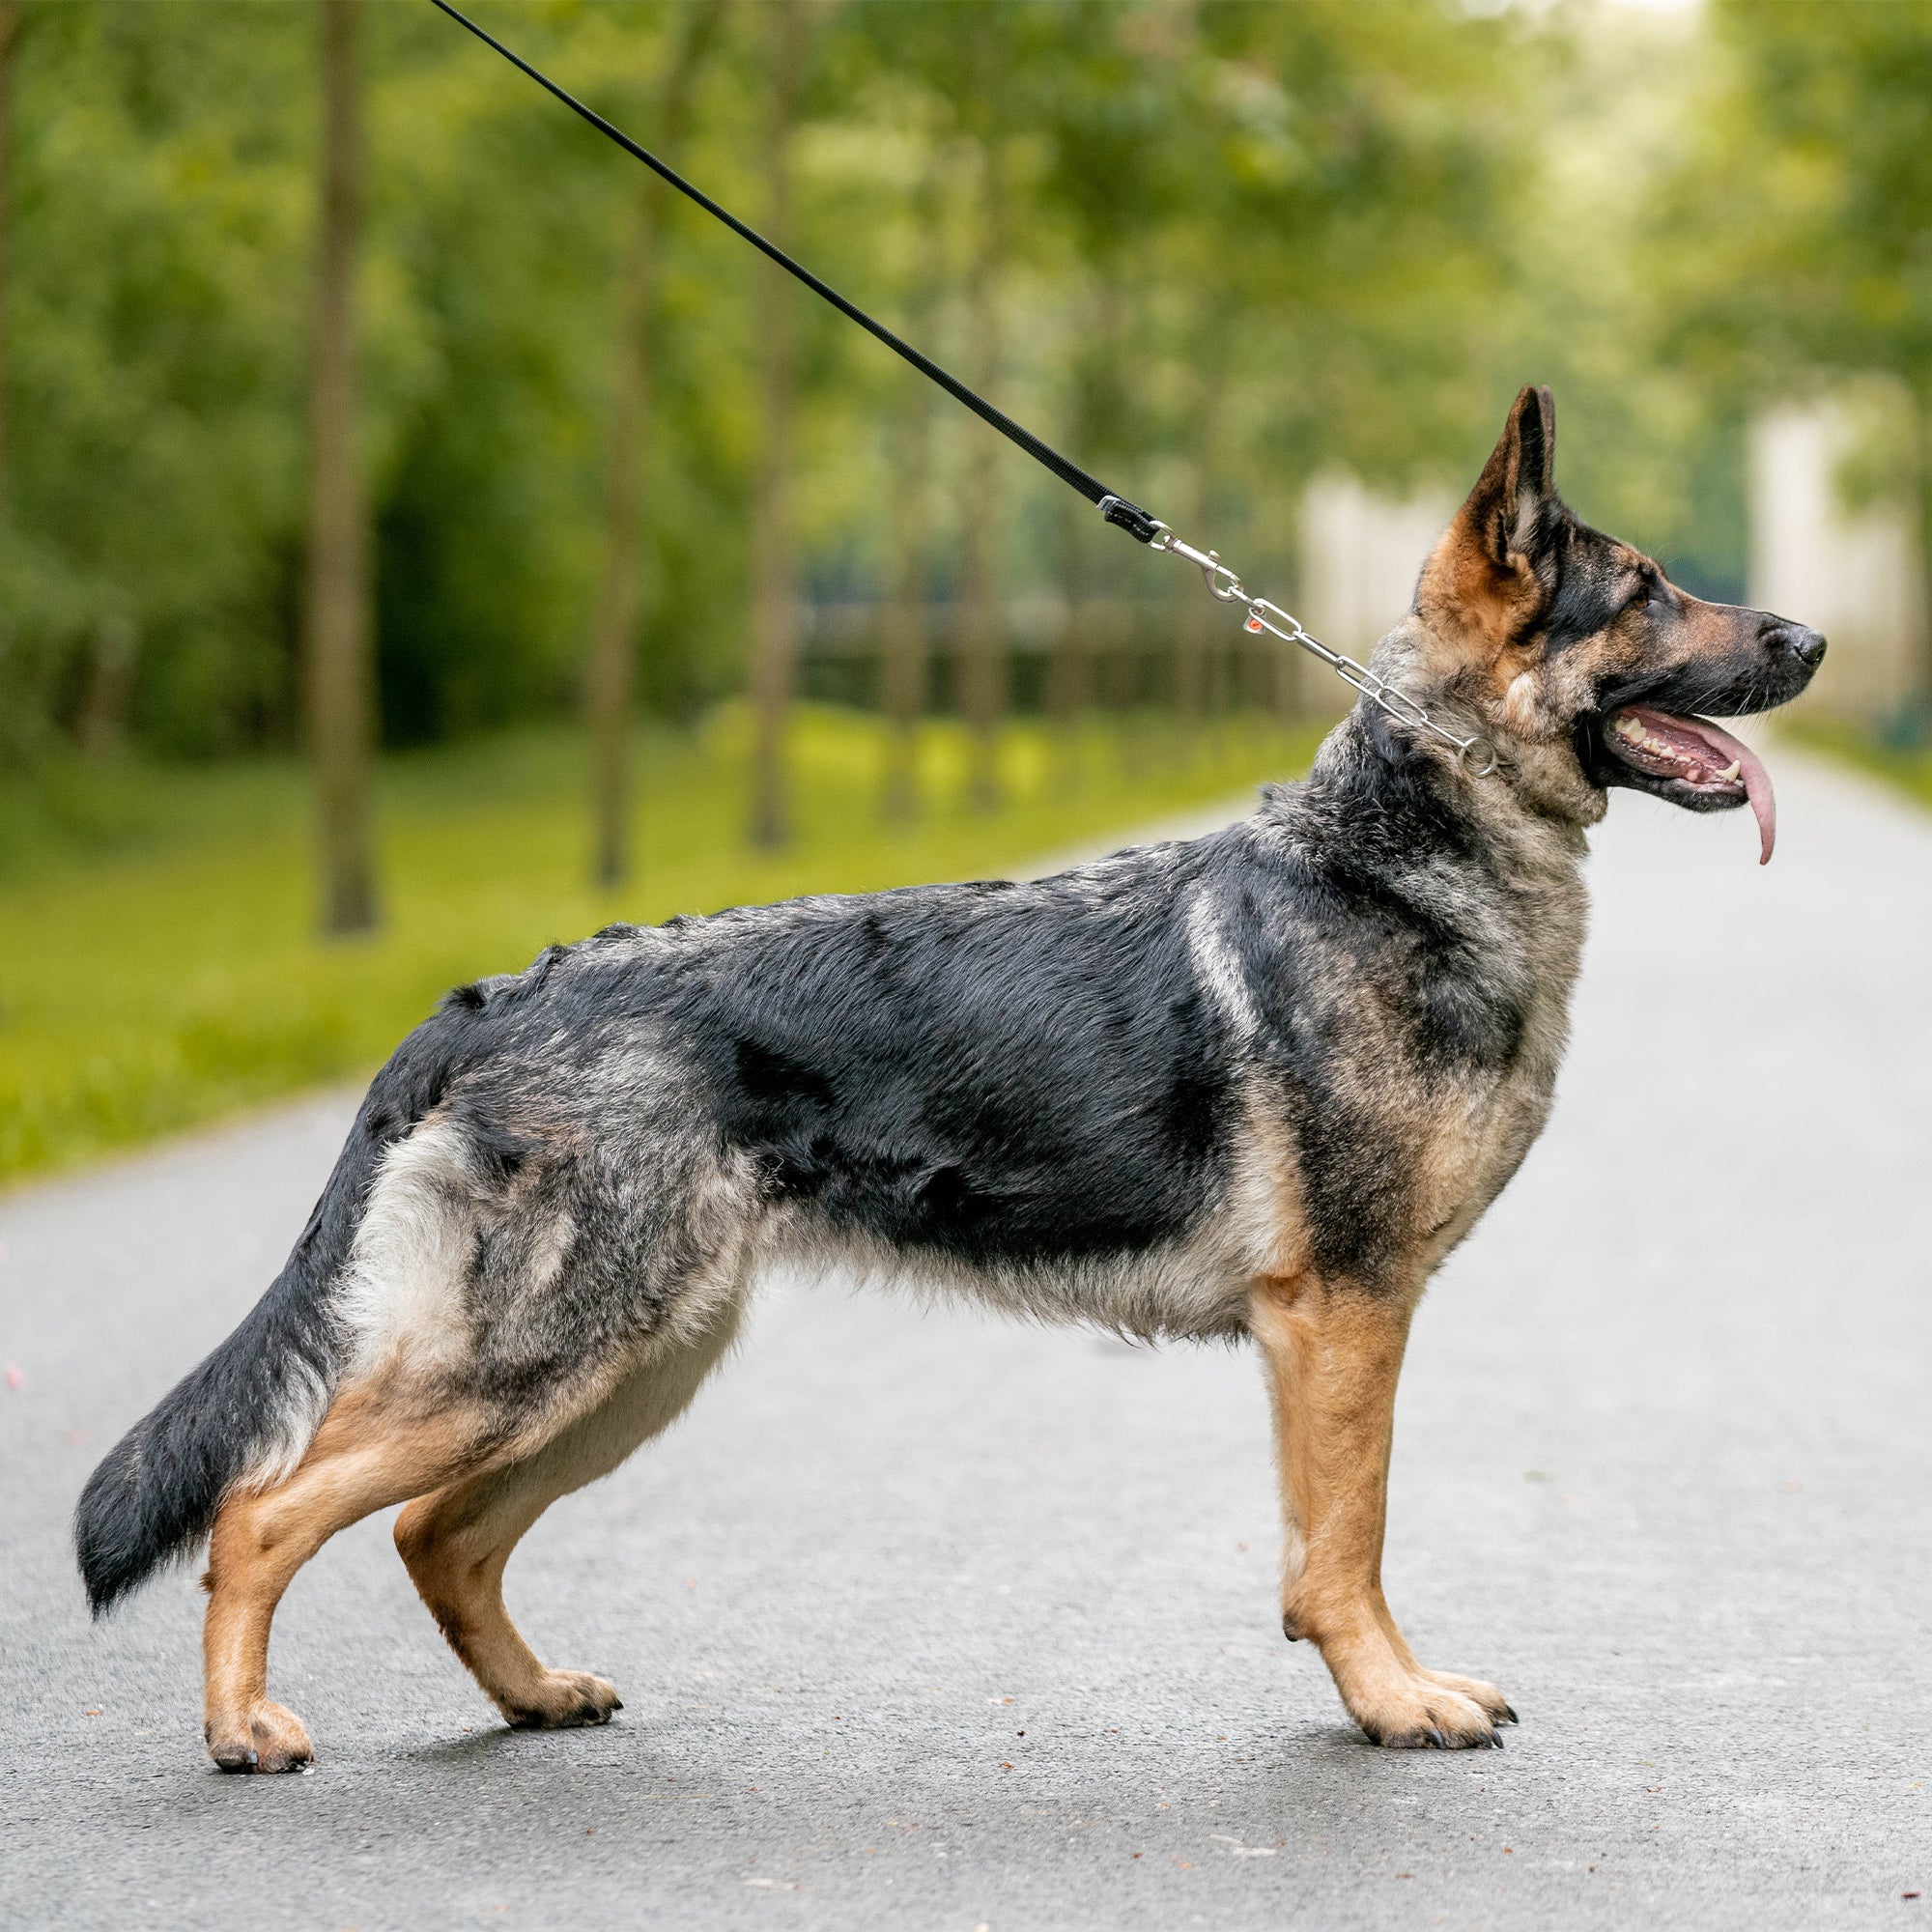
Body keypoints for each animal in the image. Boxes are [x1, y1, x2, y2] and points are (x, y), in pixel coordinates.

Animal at [75, 388, 1824, 1770]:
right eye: (1648, 595)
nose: (1811, 638)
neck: (1398, 856)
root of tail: (499, 995)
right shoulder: (1345, 1312)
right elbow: (1349, 1542)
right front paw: (1393, 1704)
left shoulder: (1334, 1326)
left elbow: (1326, 1541)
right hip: (547, 1361)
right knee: (264, 1509)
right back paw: (242, 1727)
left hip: (633, 1367)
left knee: (435, 1536)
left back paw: (531, 1697)